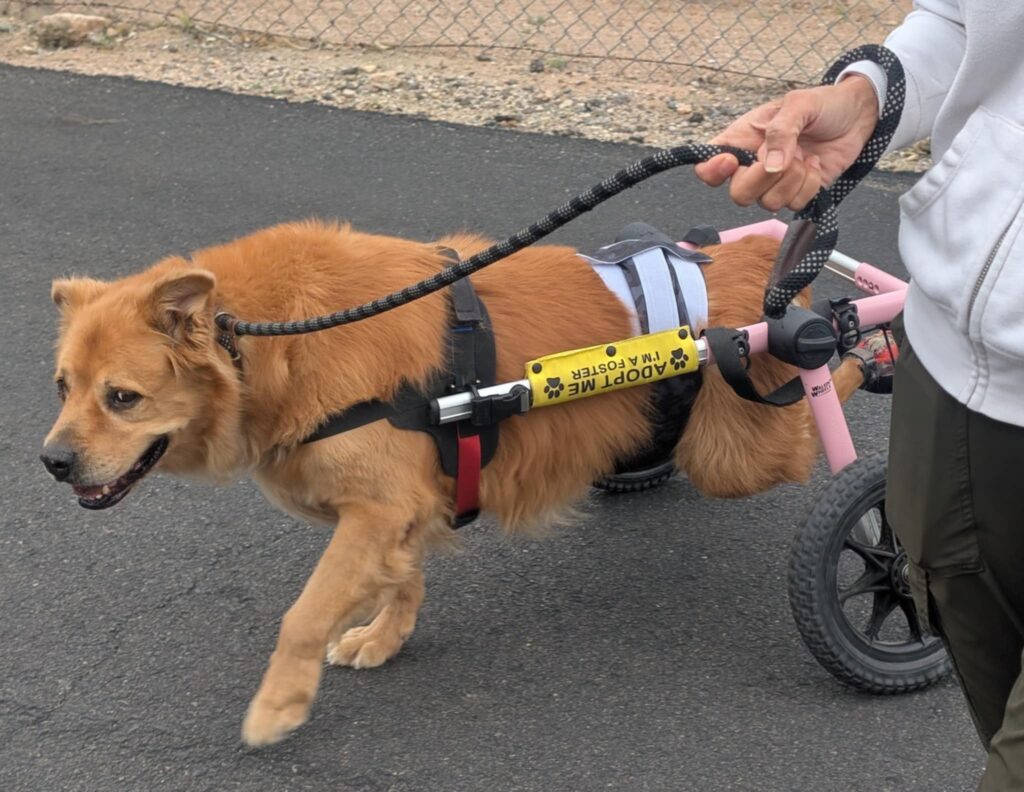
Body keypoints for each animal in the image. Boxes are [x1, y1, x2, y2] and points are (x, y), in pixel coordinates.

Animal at [41, 220, 866, 746]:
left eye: (122, 398)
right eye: (62, 386)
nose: (51, 463)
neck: (269, 342)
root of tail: (751, 267)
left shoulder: (377, 508)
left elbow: (303, 617)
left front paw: (279, 707)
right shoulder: (401, 506)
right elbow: (400, 579)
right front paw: (382, 635)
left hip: (741, 451)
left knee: (830, 394)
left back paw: (865, 343)